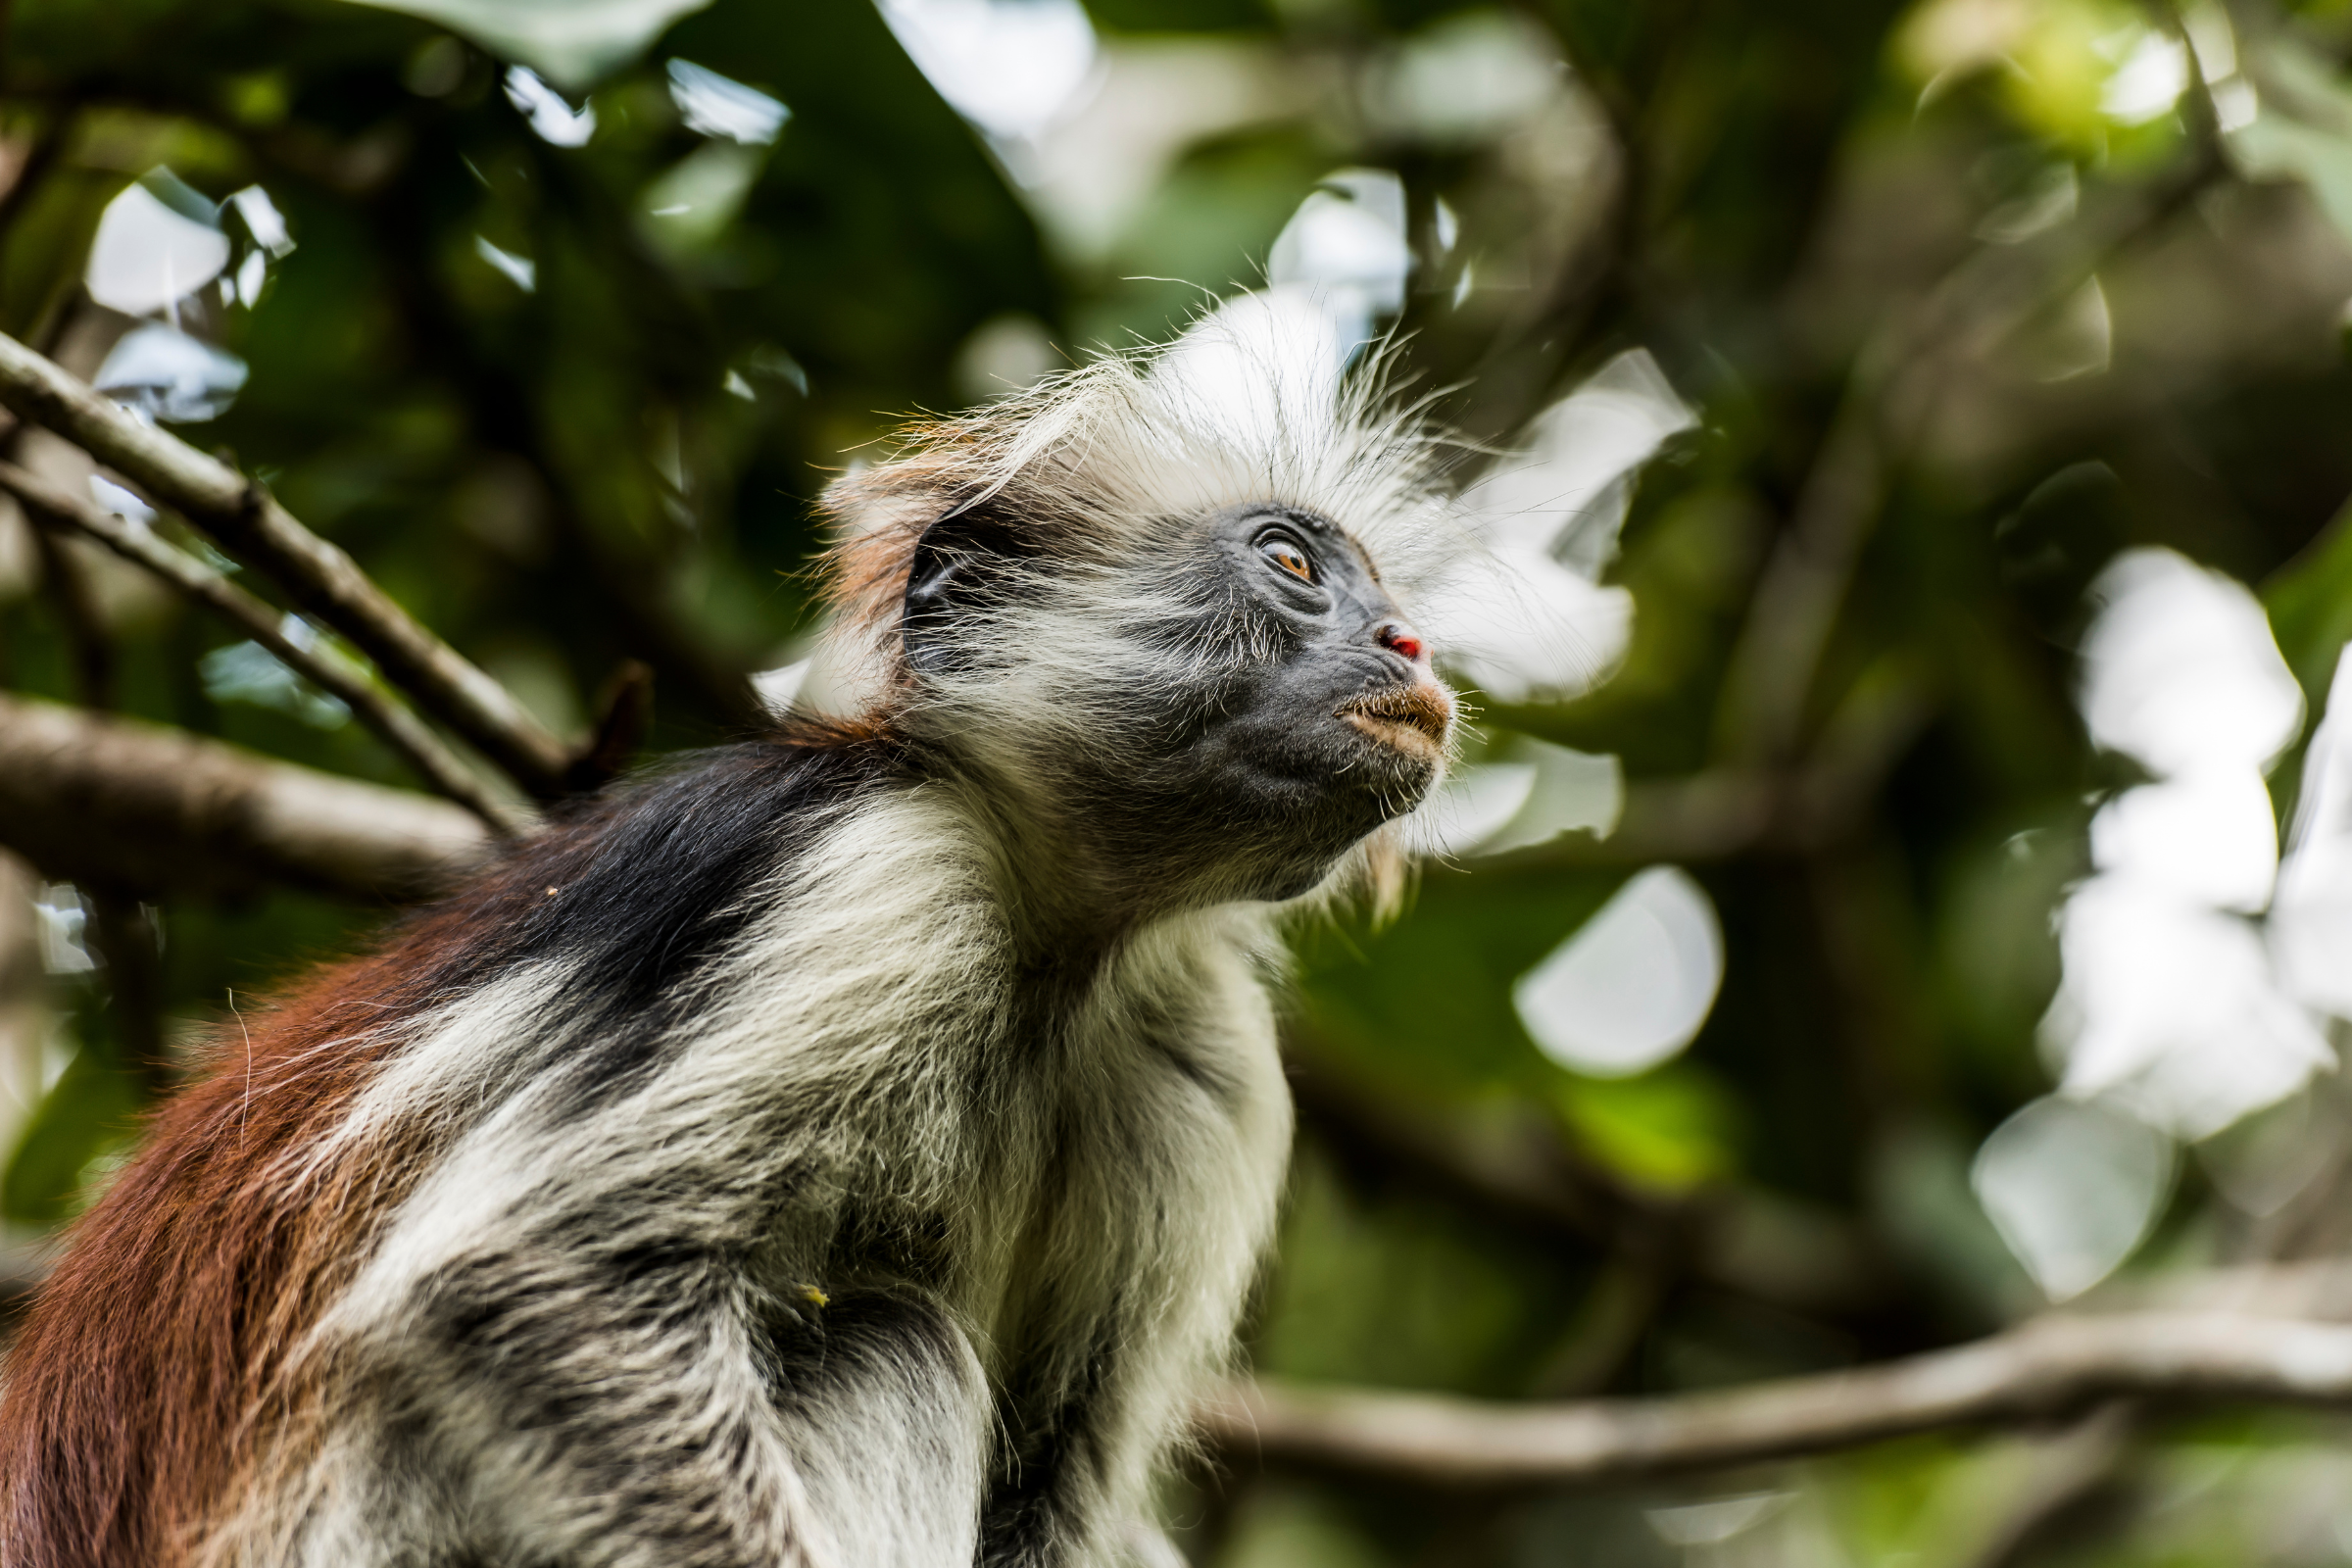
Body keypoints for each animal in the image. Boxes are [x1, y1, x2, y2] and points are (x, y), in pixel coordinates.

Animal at [0, 301, 1467, 1568]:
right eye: (1292, 563)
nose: (1409, 644)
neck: (1067, 950)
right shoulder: (881, 878)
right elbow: (519, 1284)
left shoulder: (1201, 1053)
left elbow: (1044, 1498)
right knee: (890, 1337)